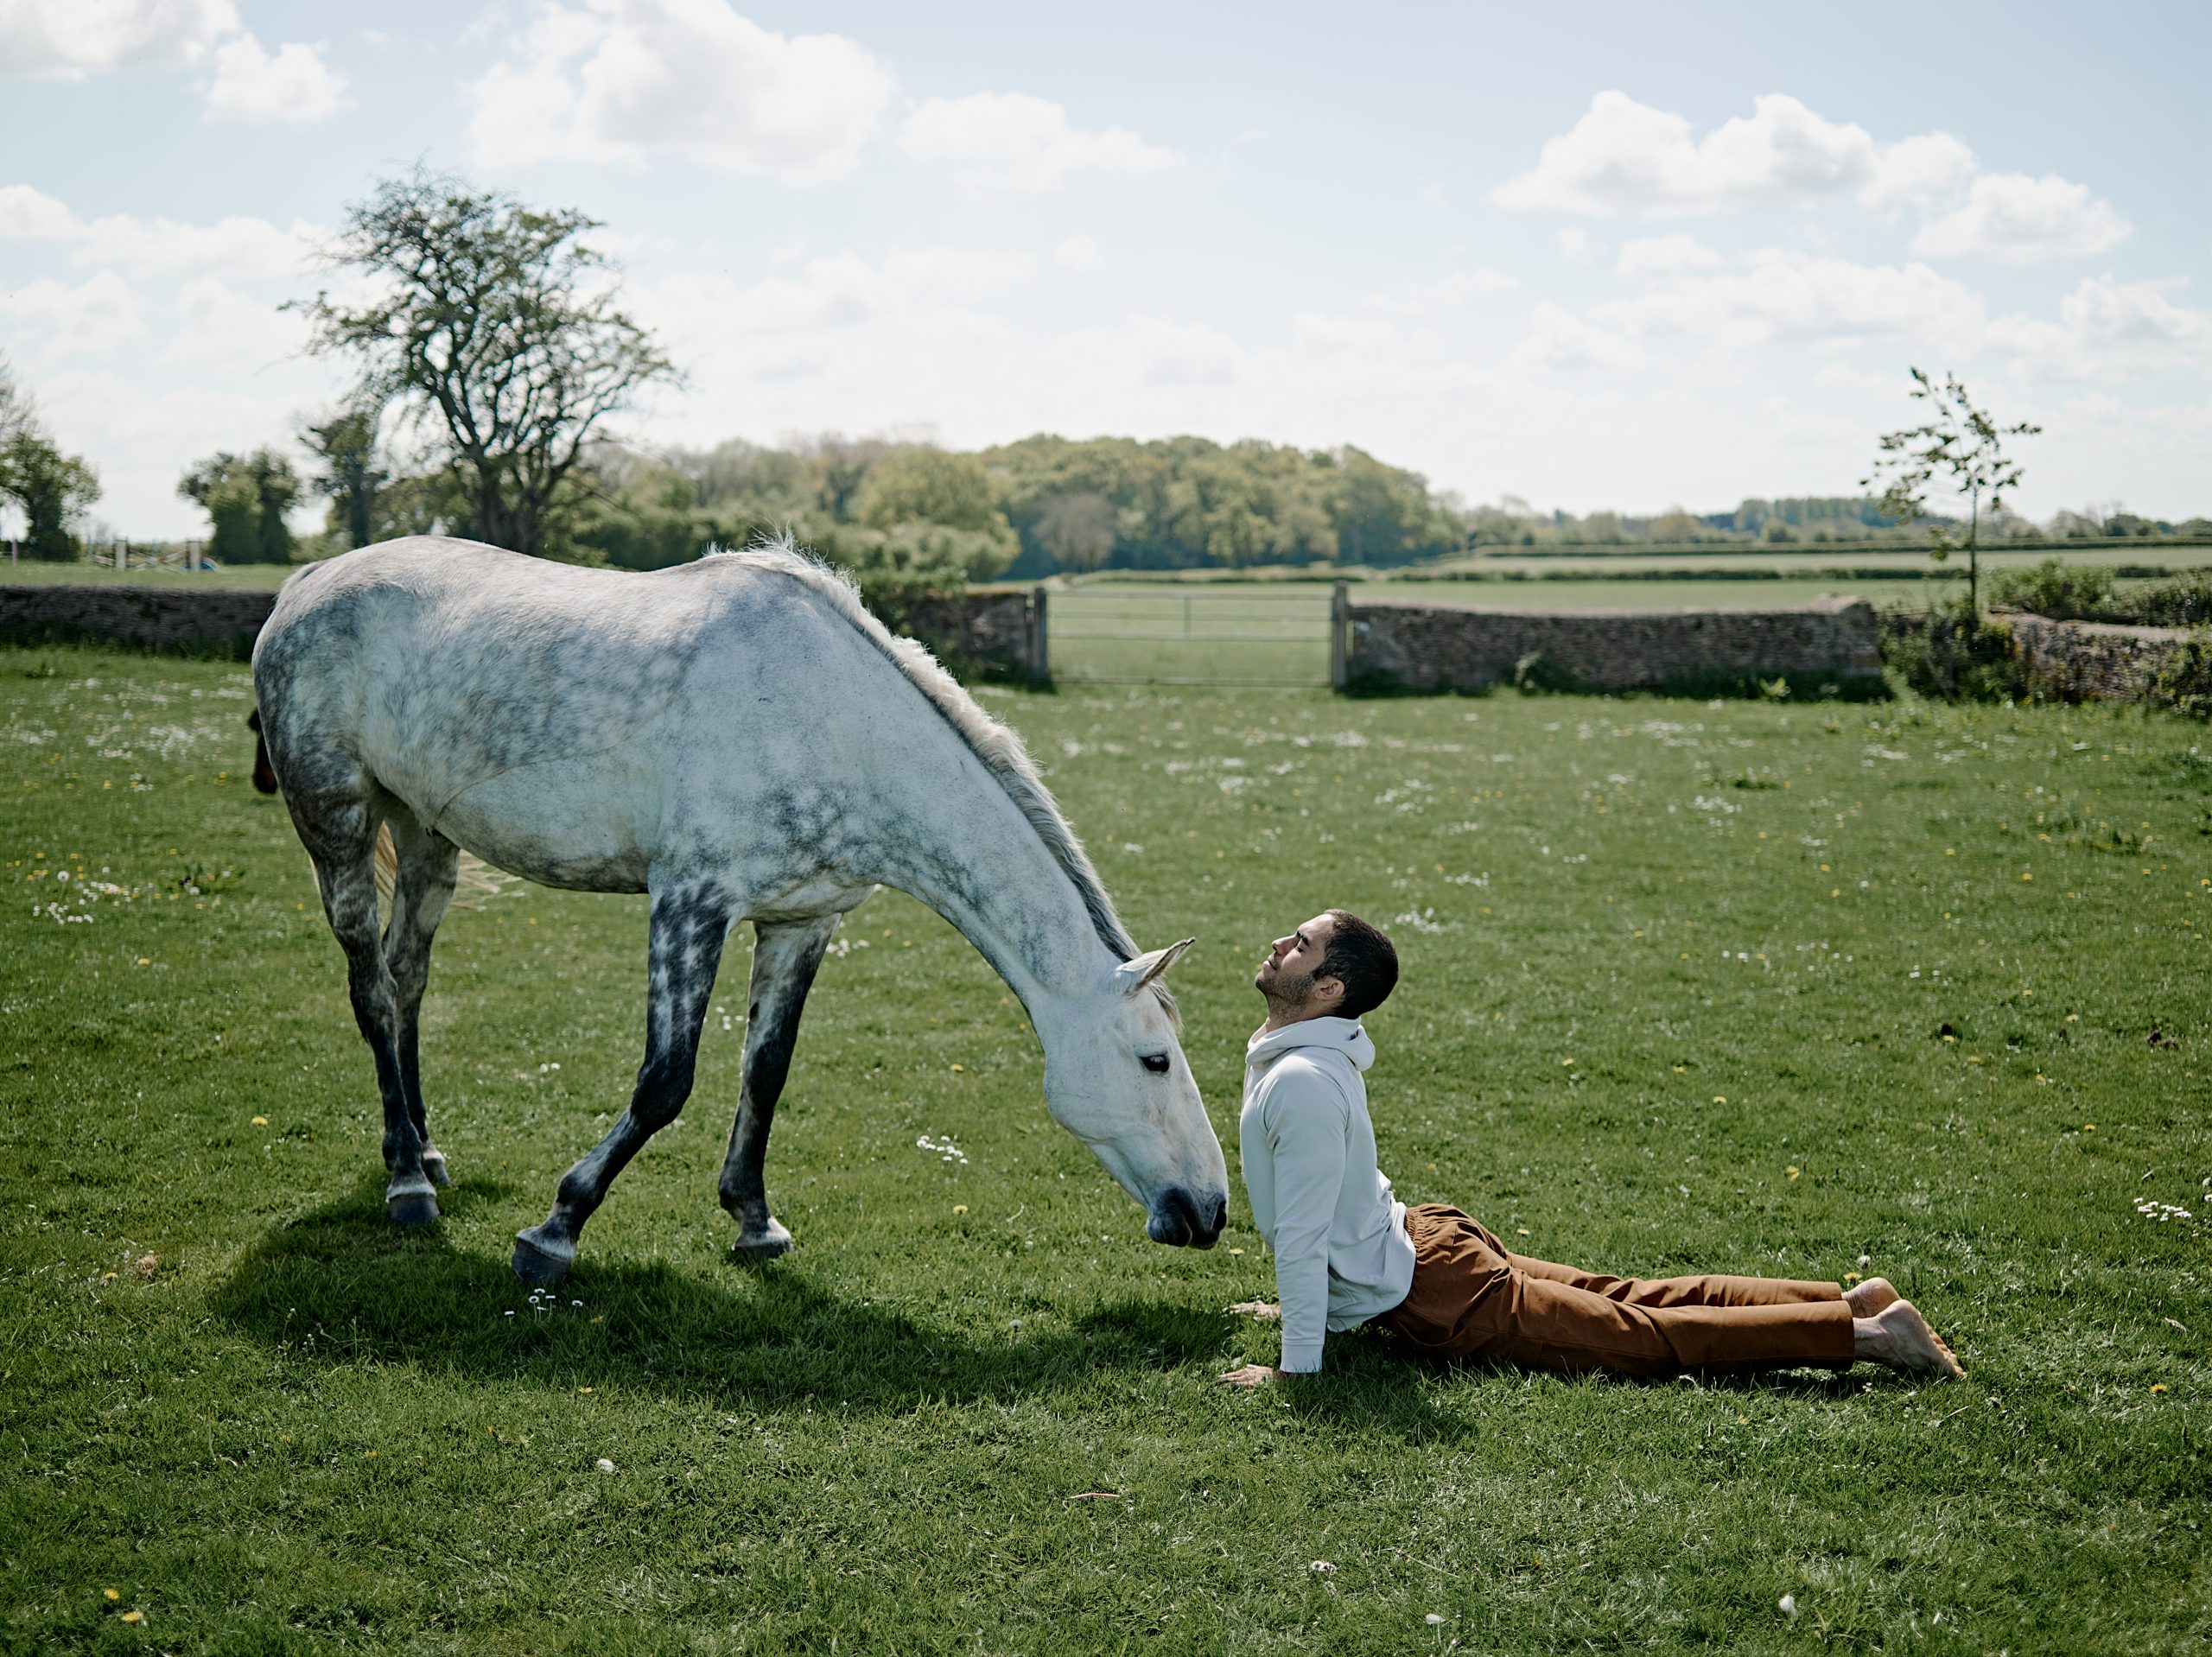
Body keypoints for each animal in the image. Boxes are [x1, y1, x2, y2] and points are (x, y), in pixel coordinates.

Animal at [254, 537, 1247, 1283]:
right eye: (1155, 1060)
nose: (1209, 1211)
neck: (833, 724)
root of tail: (308, 582)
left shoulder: (802, 922)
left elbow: (765, 1073)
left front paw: (754, 1219)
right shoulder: (689, 904)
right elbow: (665, 1081)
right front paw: (556, 1229)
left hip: (425, 832)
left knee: (409, 982)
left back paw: (426, 1154)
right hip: (339, 827)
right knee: (372, 991)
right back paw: (405, 1183)